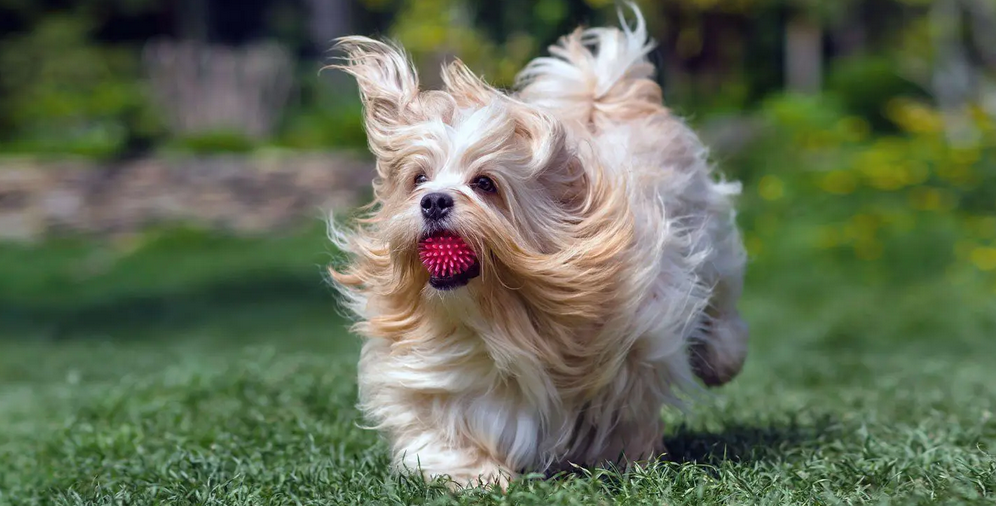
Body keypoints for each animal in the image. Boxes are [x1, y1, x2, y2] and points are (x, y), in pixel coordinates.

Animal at [326, 3, 748, 490]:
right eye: (419, 179)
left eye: (485, 183)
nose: (433, 201)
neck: (504, 316)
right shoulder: (433, 372)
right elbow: (440, 426)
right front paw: (475, 473)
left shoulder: (640, 339)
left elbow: (625, 410)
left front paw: (625, 459)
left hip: (711, 233)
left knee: (722, 303)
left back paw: (722, 360)